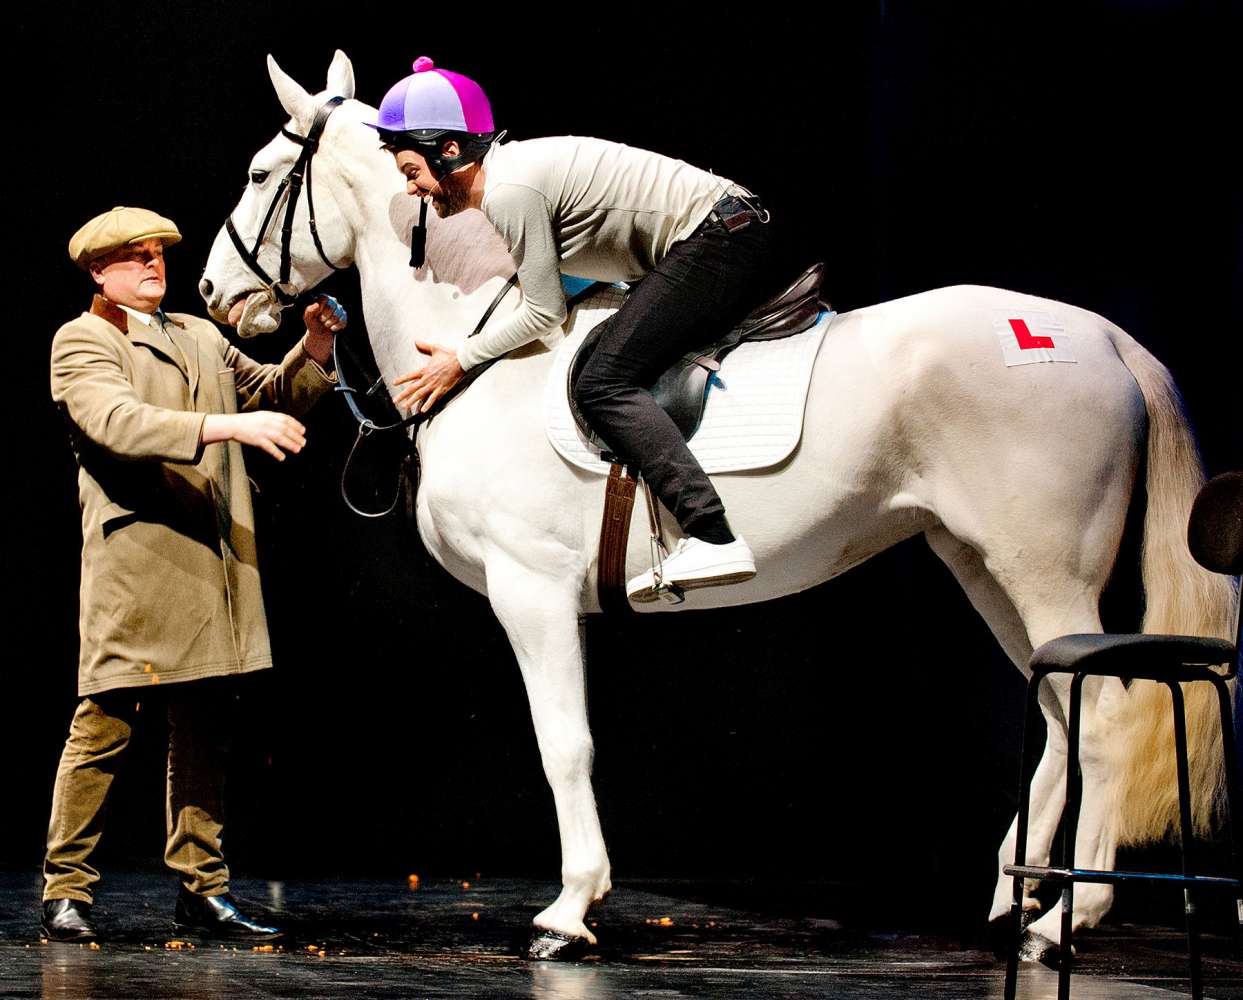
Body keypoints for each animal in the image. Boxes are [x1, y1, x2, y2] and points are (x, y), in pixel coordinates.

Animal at [198, 52, 1228, 959]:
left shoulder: (531, 591)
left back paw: (1066, 925)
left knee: (1104, 719)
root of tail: (1103, 336)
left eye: (258, 174)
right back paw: (1019, 900)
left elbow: (563, 745)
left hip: (1044, 571)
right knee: (1059, 708)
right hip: (982, 566)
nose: (213, 294)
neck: (482, 344)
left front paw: (568, 914)